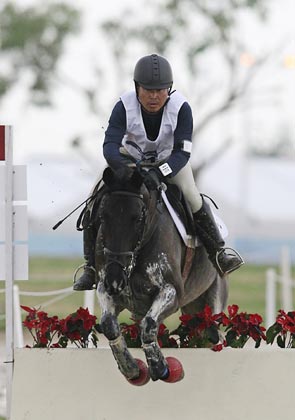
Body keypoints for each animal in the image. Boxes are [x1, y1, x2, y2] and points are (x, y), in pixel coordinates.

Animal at [95, 167, 229, 384]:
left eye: (138, 218)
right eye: (103, 216)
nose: (115, 279)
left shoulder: (171, 292)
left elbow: (149, 324)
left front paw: (161, 368)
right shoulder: (106, 288)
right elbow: (108, 324)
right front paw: (129, 368)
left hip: (212, 302)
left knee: (216, 336)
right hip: (193, 310)